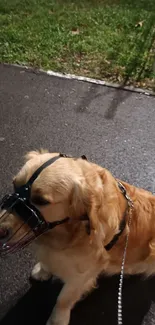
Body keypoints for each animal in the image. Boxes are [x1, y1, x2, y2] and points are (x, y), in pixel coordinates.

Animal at [0, 149, 155, 324]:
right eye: (14, 185)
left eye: (41, 200)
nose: (0, 231)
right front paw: (43, 270)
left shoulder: (81, 276)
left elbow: (63, 300)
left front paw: (57, 319)